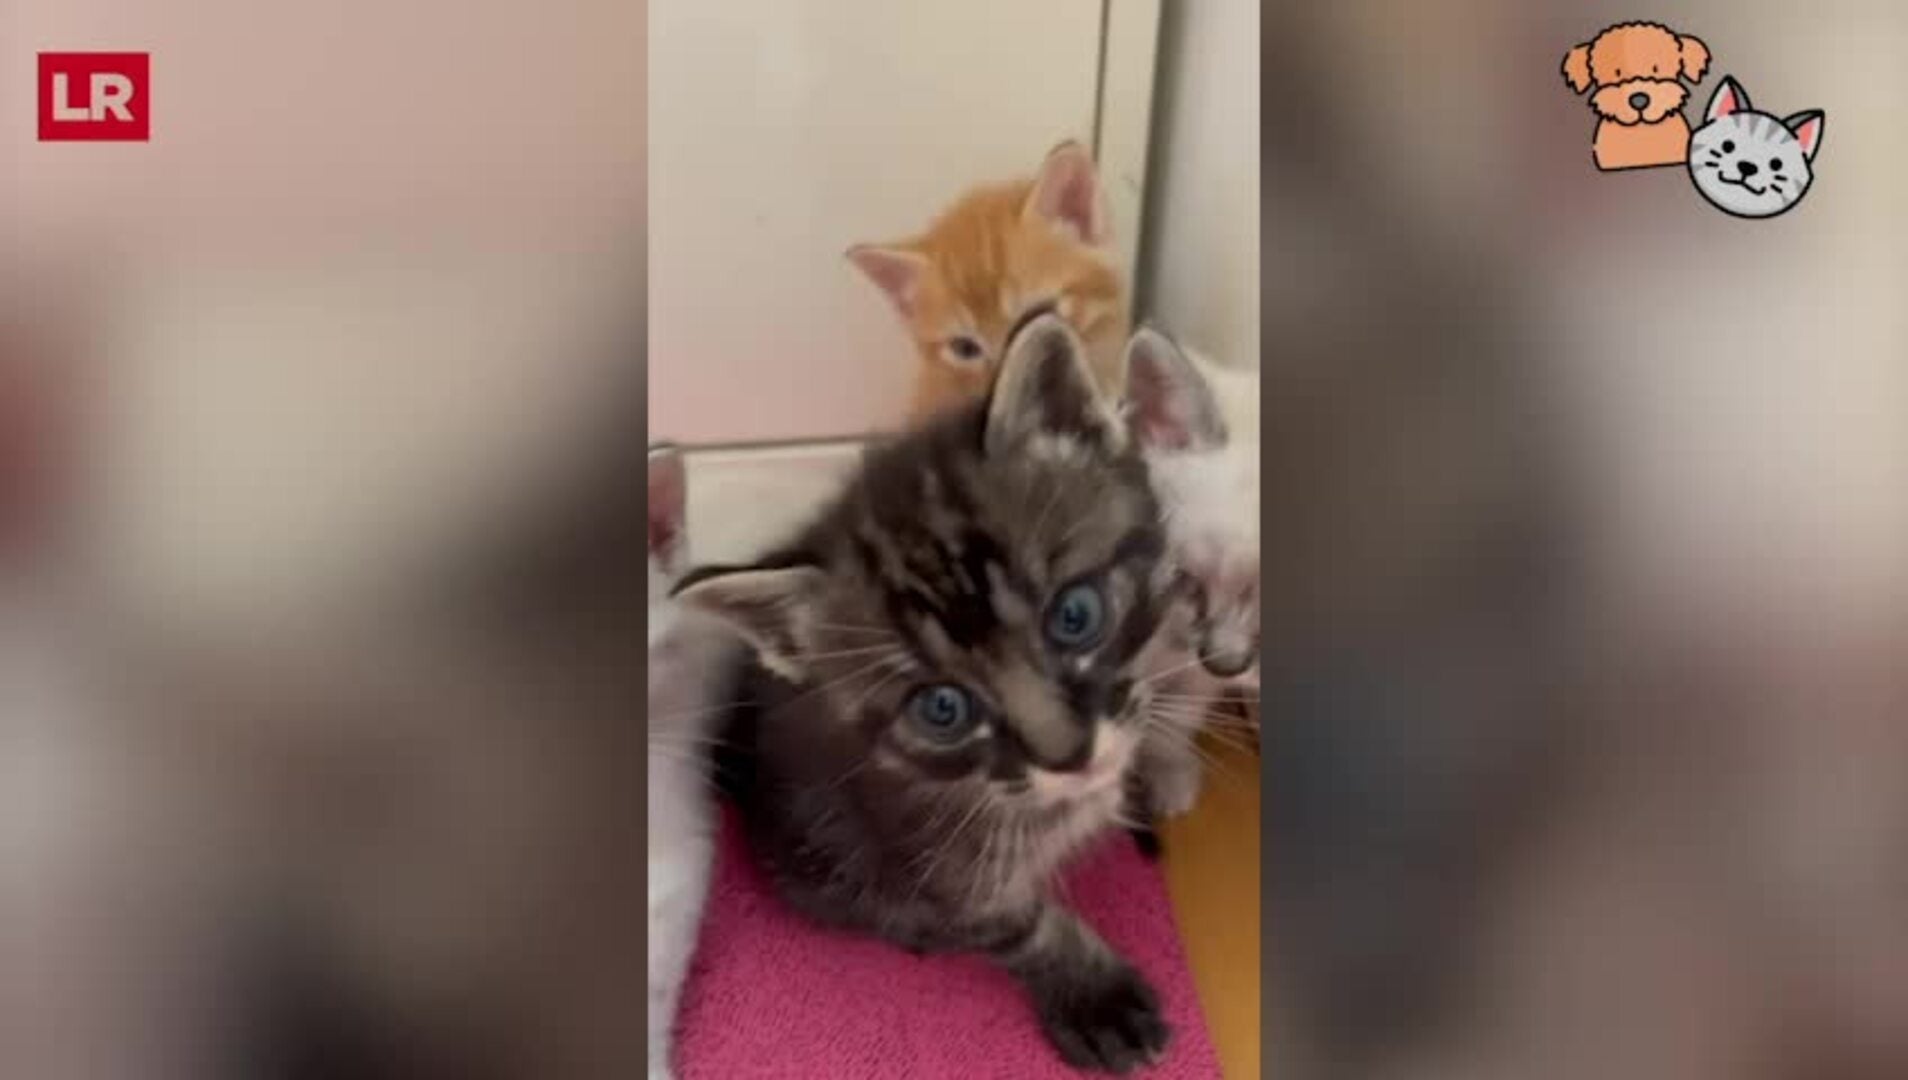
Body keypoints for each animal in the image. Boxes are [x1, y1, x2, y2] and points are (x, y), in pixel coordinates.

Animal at [673, 314, 1179, 1073]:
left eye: (1075, 614)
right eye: (942, 709)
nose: (1070, 756)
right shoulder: (926, 862)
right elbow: (1014, 925)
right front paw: (1091, 992)